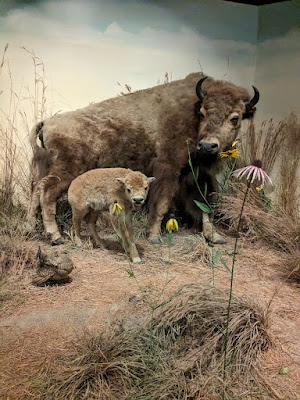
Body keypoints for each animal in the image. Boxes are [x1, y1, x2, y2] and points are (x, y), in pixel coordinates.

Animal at [27, 73, 258, 245]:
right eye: (202, 113)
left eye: (235, 117)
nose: (208, 146)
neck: (191, 115)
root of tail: (47, 122)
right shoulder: (168, 169)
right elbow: (162, 203)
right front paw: (154, 236)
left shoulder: (198, 174)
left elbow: (205, 204)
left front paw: (215, 236)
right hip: (66, 171)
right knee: (47, 195)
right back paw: (56, 236)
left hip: (47, 168)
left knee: (36, 191)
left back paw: (31, 227)